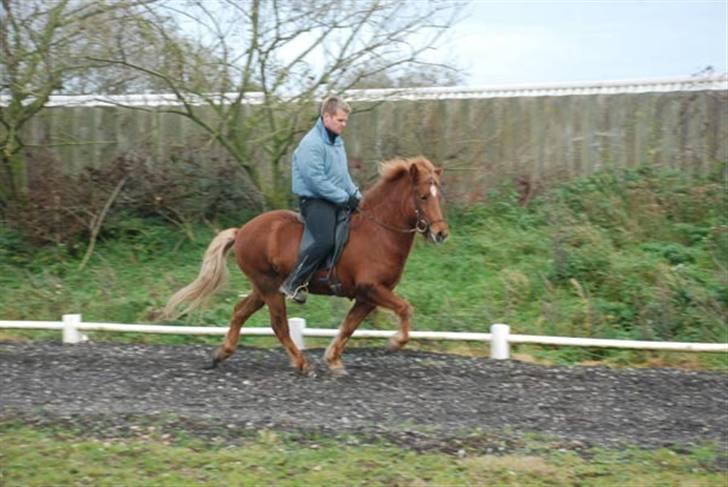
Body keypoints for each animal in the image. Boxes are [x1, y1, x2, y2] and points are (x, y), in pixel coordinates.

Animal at [165, 154, 450, 376]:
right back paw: (302, 365)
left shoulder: (368, 296)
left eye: (439, 196)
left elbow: (349, 326)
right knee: (279, 326)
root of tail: (242, 231)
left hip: (263, 288)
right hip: (270, 288)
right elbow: (405, 308)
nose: (441, 234)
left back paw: (221, 354)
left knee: (239, 312)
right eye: (423, 196)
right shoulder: (371, 288)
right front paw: (395, 343)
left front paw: (333, 360)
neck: (379, 231)